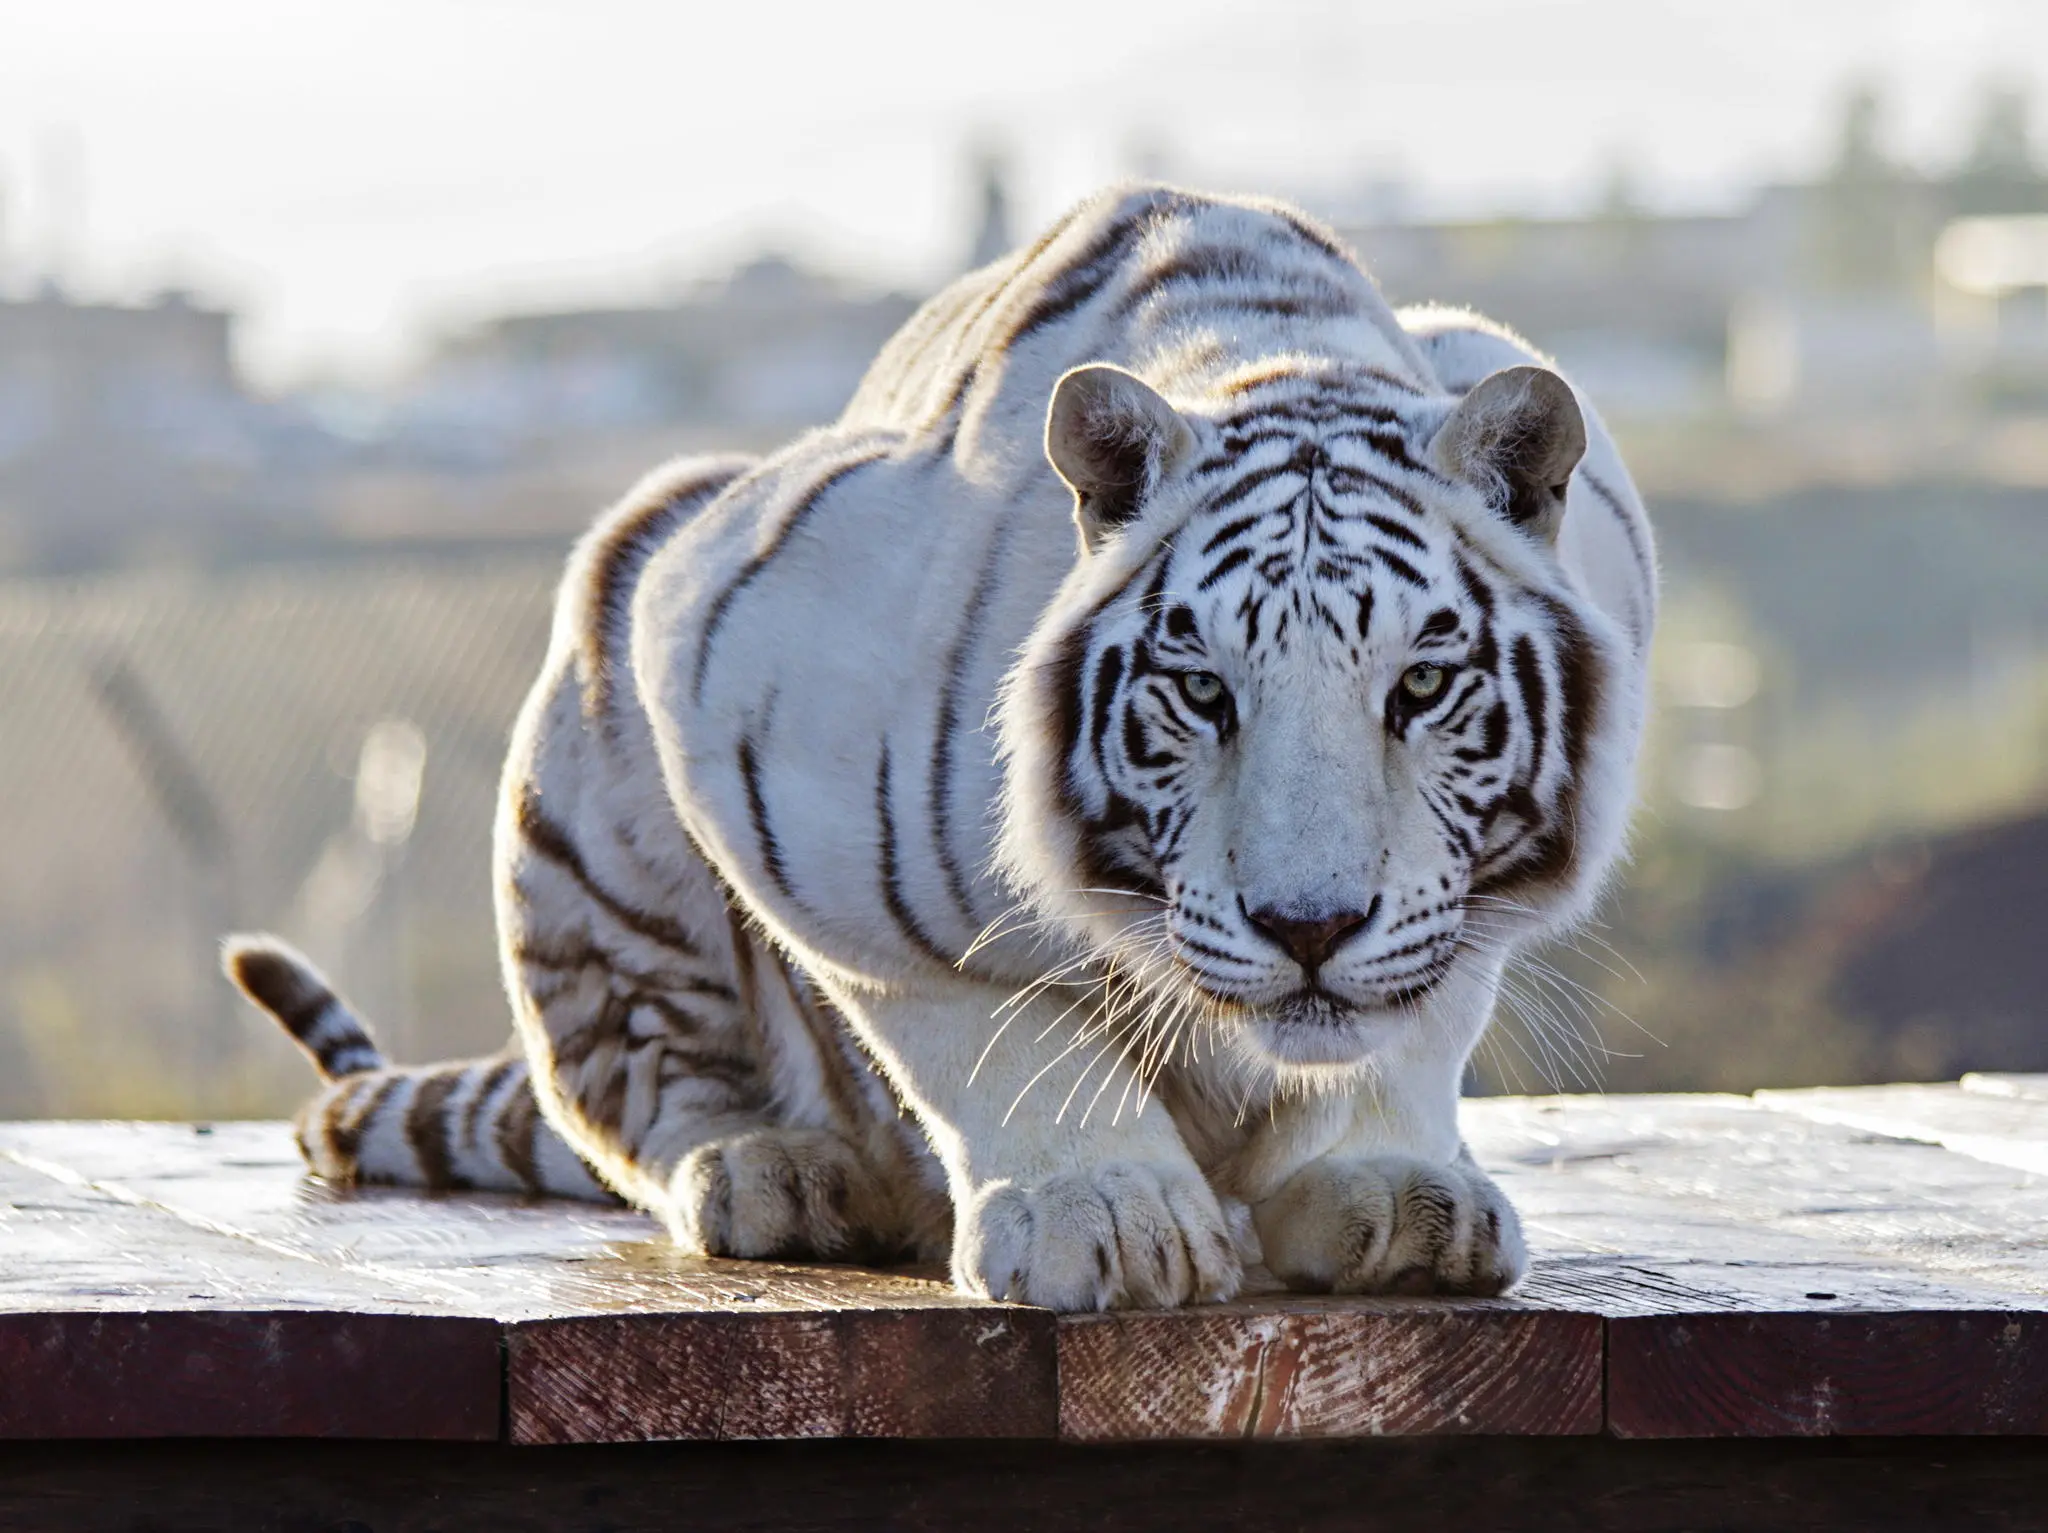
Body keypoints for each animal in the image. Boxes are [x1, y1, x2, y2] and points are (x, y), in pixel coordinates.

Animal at [232, 179, 1654, 1301]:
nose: (1306, 930)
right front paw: (1107, 1216)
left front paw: (1398, 1187)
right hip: (611, 709)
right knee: (643, 1079)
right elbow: (987, 1024)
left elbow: (1422, 1005)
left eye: (1420, 686)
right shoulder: (748, 712)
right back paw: (775, 1169)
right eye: (1201, 692)